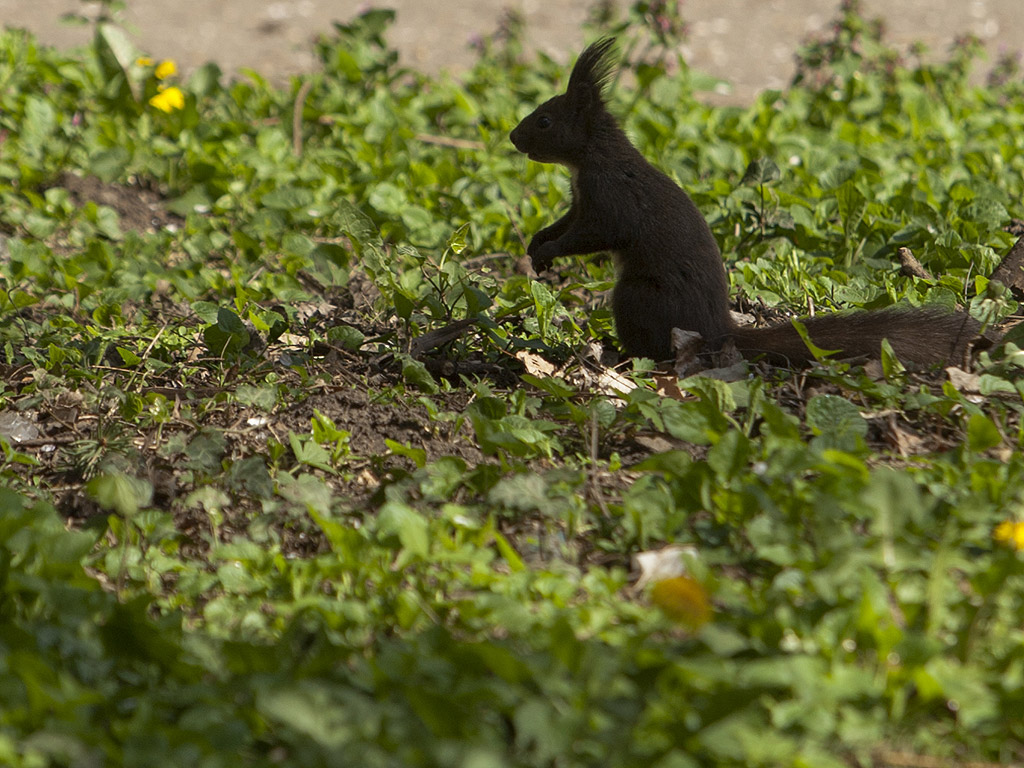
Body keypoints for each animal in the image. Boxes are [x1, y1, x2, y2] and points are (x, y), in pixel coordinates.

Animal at [507, 37, 978, 368]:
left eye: (544, 120)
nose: (513, 137)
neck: (592, 156)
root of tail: (717, 331)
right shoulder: (580, 200)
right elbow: (565, 223)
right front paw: (537, 245)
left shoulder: (610, 198)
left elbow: (595, 234)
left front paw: (549, 252)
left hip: (638, 298)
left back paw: (622, 355)